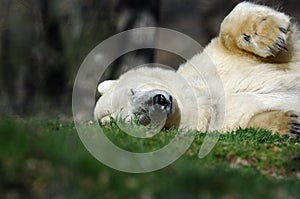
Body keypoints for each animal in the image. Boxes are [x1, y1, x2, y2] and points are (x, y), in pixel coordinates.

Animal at [94, 1, 300, 136]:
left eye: (132, 91)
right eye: (135, 117)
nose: (159, 101)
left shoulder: (214, 64)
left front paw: (268, 35)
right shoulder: (220, 124)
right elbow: (247, 122)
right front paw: (289, 124)